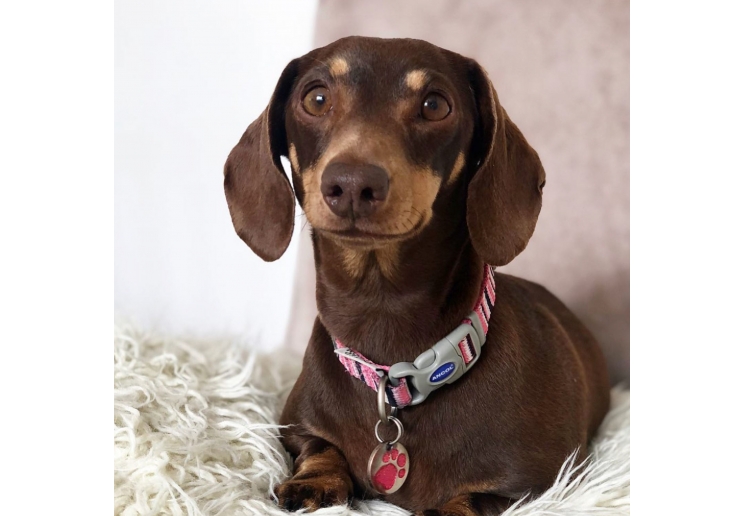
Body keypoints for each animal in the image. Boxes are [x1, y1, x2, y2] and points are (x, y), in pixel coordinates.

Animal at [224, 37, 608, 516]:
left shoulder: (539, 485)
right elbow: (321, 448)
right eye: (316, 98)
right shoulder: (296, 426)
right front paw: (315, 482)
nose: (353, 185)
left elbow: (469, 500)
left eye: (434, 105)